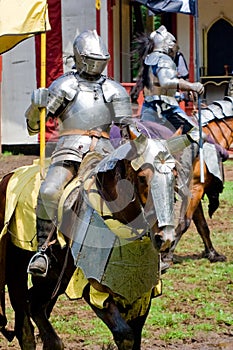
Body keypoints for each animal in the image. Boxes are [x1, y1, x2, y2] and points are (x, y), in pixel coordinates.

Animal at [0, 133, 178, 348]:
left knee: (35, 305)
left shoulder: (143, 295)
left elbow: (135, 335)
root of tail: (8, 176)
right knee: (25, 325)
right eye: (143, 177)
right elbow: (125, 335)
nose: (165, 237)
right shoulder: (92, 288)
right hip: (15, 270)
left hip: (54, 278)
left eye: (174, 176)